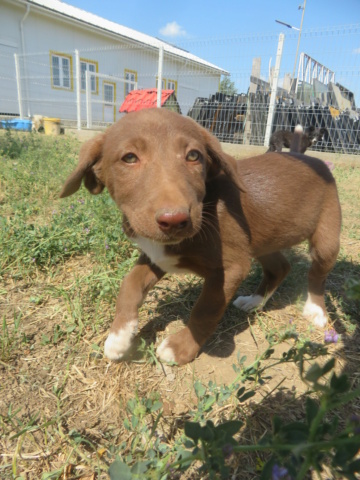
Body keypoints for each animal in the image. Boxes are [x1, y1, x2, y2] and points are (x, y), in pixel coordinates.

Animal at [59, 108, 340, 364]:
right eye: (129, 158)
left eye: (194, 155)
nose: (175, 220)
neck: (206, 205)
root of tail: (305, 158)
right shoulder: (157, 256)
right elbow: (130, 284)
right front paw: (119, 336)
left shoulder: (231, 268)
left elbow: (205, 310)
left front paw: (181, 347)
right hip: (263, 241)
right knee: (280, 267)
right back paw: (255, 301)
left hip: (326, 236)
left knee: (317, 274)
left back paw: (316, 310)